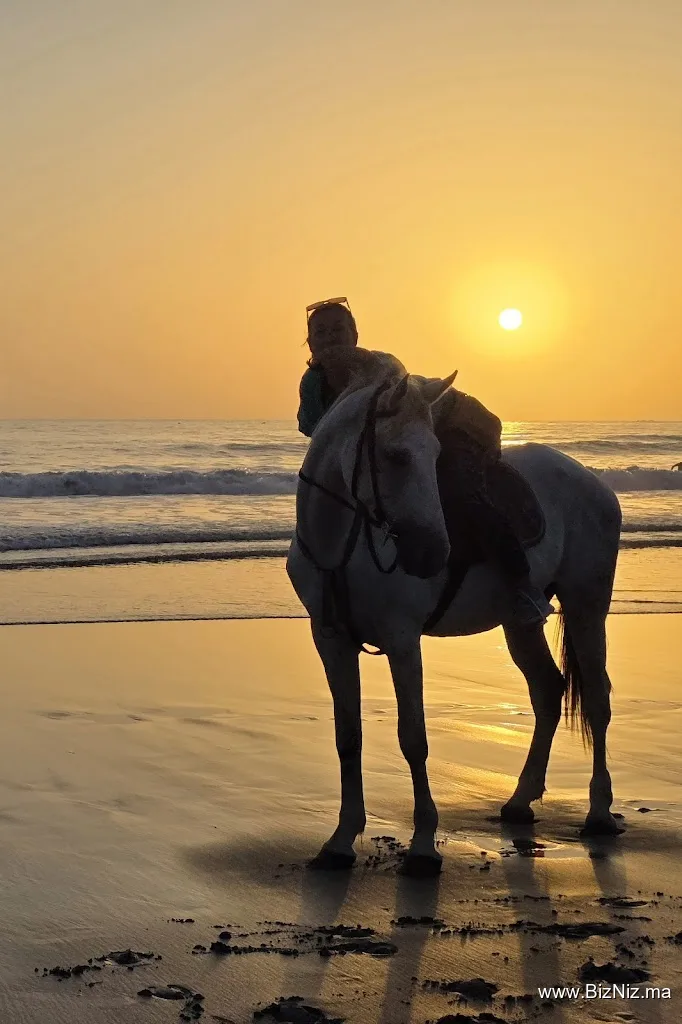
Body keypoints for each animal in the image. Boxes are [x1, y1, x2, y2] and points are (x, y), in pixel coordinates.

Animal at [287, 348, 622, 877]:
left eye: (435, 455)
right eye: (396, 456)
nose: (431, 554)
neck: (343, 542)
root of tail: (593, 482)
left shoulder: (402, 641)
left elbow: (413, 738)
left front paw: (424, 847)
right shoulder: (331, 640)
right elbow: (348, 737)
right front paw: (340, 842)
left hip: (588, 604)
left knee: (598, 697)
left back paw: (599, 812)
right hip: (519, 622)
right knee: (548, 690)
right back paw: (520, 801)